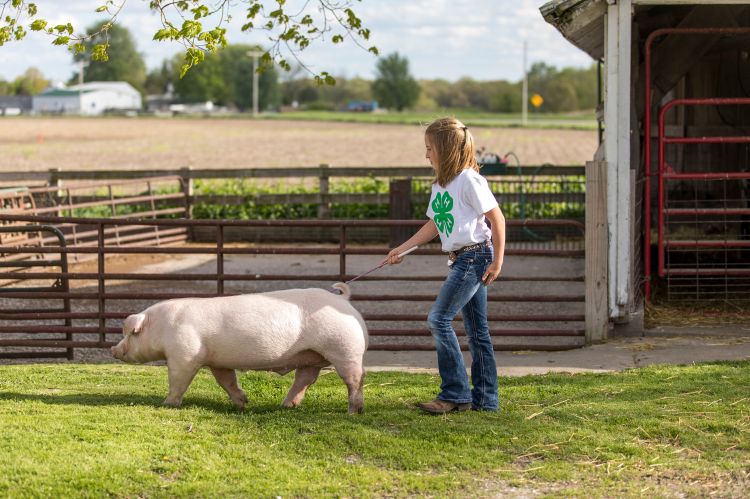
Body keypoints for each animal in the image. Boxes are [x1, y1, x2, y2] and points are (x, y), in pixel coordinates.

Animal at [111, 283, 368, 414]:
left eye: (131, 333)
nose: (113, 350)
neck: (162, 327)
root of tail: (343, 301)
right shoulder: (217, 362)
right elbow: (226, 381)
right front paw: (244, 402)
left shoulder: (184, 355)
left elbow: (178, 379)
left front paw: (167, 404)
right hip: (310, 357)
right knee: (305, 379)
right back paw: (286, 406)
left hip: (345, 349)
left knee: (355, 379)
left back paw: (354, 411)